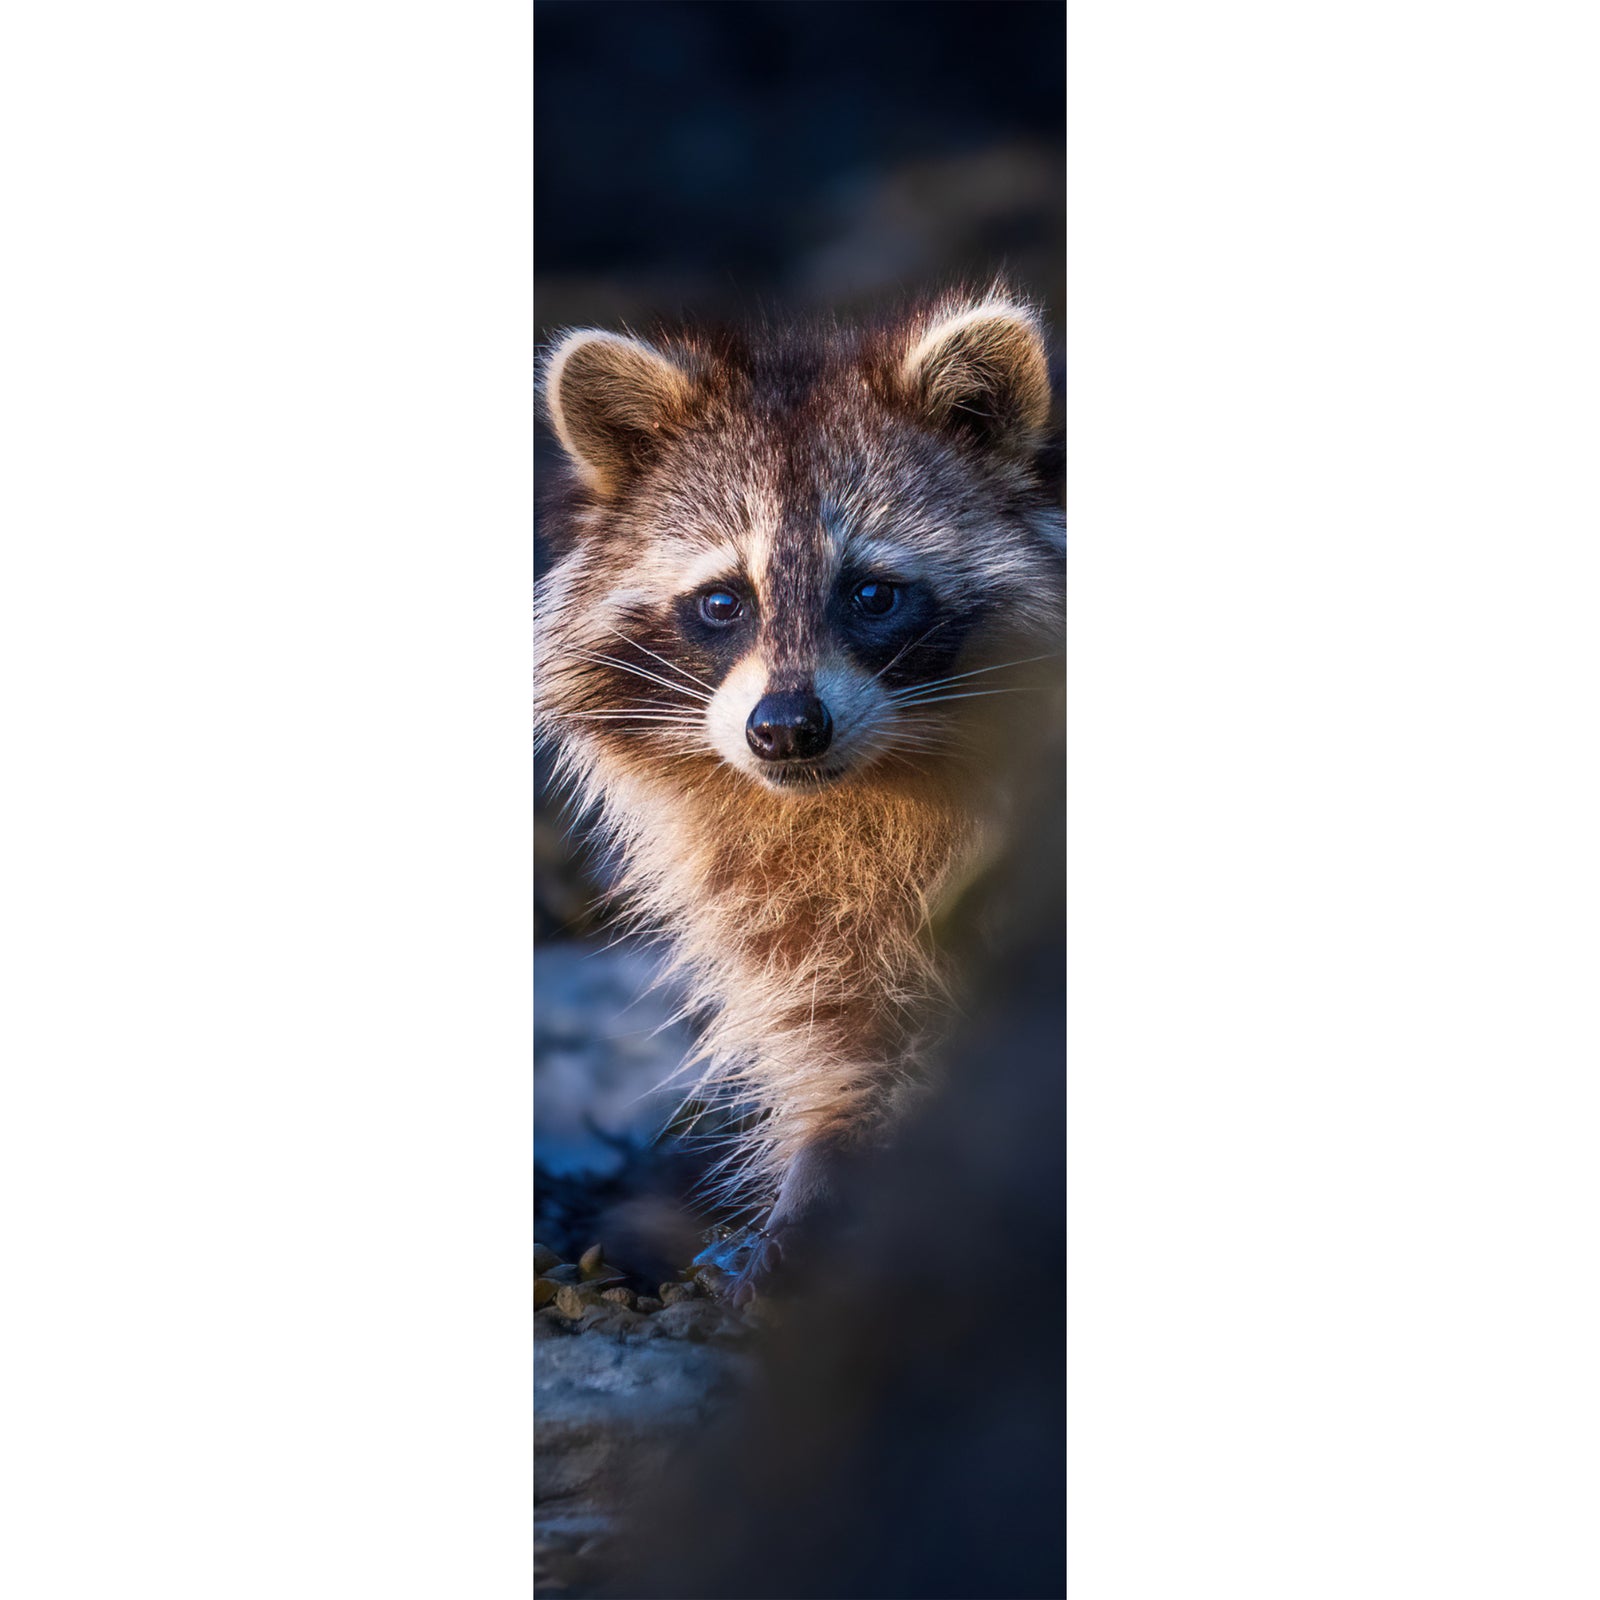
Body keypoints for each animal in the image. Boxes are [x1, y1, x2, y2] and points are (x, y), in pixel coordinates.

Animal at [534, 286, 1064, 1298]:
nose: (783, 729)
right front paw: (818, 1187)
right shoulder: (789, 899)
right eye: (722, 601)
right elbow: (838, 1037)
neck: (856, 791)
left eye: (873, 594)